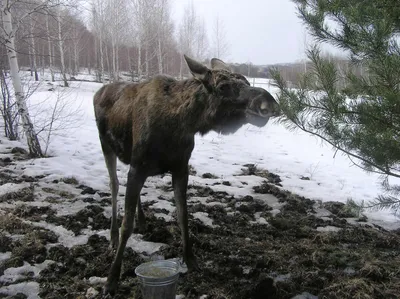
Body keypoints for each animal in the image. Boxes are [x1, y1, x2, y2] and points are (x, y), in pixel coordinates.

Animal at [94, 55, 280, 294]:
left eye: (247, 82)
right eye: (222, 86)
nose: (268, 103)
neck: (182, 124)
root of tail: (98, 91)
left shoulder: (180, 168)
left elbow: (183, 215)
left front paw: (190, 259)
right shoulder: (139, 167)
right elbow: (127, 225)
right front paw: (111, 279)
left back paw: (142, 221)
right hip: (106, 145)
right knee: (114, 184)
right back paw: (113, 237)